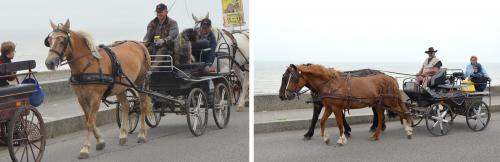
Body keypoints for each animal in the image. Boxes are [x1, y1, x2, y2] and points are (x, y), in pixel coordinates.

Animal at [45, 19, 151, 158]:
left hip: (141, 82)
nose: (49, 63)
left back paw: (142, 134)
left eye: (62, 41)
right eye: (49, 40)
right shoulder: (81, 98)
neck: (86, 65)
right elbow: (89, 120)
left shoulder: (95, 98)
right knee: (126, 106)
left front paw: (85, 148)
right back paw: (123, 135)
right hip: (120, 87)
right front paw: (100, 141)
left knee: (142, 106)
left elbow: (90, 122)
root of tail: (139, 44)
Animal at [284, 63, 412, 146]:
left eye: (294, 78)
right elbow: (322, 121)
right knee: (381, 117)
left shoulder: (336, 107)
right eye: (287, 78)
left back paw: (408, 130)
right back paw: (376, 135)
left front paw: (342, 139)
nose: (287, 94)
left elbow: (339, 123)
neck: (330, 84)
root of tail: (391, 78)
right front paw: (325, 138)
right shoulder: (329, 107)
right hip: (378, 104)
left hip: (390, 102)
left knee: (403, 113)